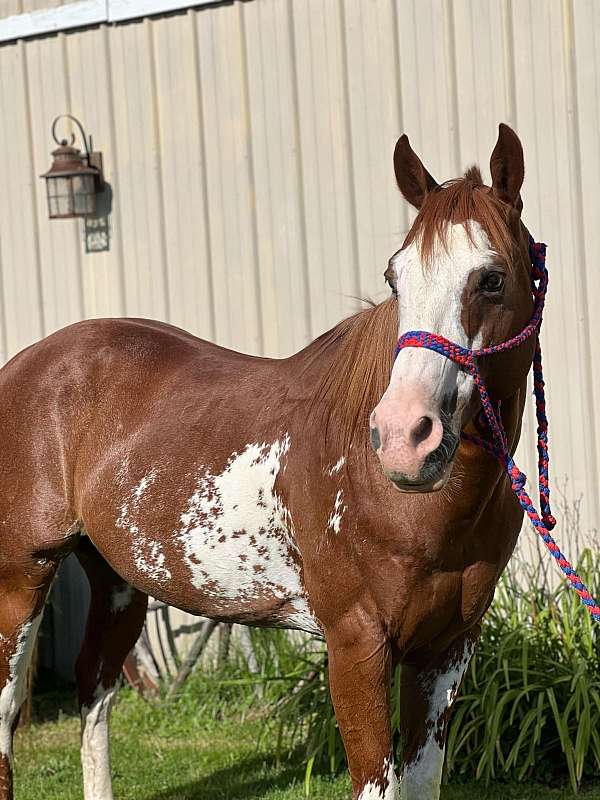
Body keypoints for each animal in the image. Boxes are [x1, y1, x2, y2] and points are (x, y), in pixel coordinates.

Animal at [0, 122, 536, 796]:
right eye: (396, 279)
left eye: (492, 278)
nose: (403, 437)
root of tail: (25, 365)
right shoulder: (356, 645)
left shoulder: (445, 652)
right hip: (21, 576)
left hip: (118, 582)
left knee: (94, 691)